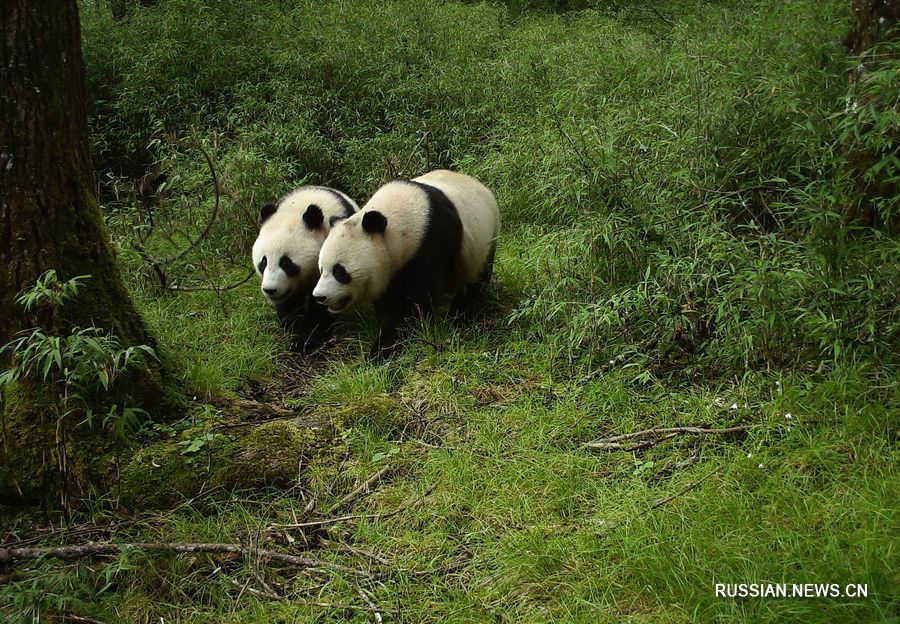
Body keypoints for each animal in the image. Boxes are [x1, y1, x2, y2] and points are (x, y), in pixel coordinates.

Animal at [251, 185, 356, 352]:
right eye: (263, 262)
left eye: (286, 263)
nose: (270, 290)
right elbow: (289, 302)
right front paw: (290, 326)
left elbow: (321, 308)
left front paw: (303, 342)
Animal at [312, 168, 500, 358]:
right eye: (321, 269)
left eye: (339, 271)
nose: (319, 296)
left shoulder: (431, 244)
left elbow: (411, 303)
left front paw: (383, 348)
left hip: (484, 242)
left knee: (475, 282)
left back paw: (460, 316)